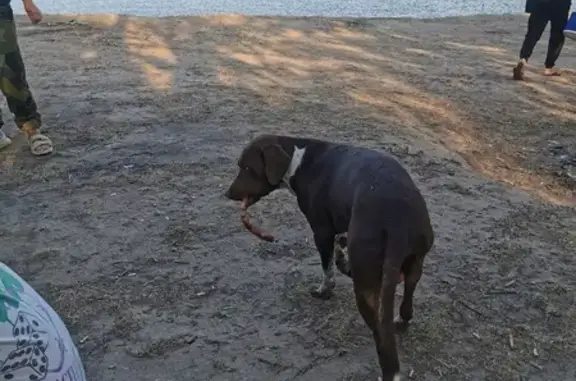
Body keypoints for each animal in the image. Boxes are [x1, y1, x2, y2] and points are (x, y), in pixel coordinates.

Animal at [225, 134, 432, 380]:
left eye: (248, 168)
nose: (228, 194)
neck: (298, 159)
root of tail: (396, 219)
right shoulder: (340, 226)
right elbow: (338, 253)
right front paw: (343, 264)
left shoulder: (321, 231)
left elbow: (327, 268)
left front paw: (324, 290)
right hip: (414, 264)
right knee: (407, 297)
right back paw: (402, 321)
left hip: (366, 289)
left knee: (380, 333)